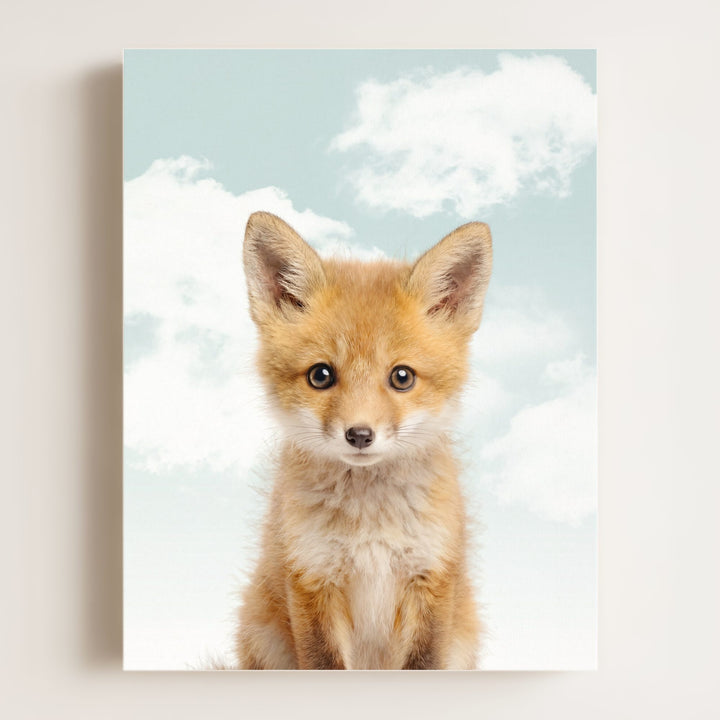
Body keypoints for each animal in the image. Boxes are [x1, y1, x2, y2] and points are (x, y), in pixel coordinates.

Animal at [236, 211, 492, 670]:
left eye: (402, 377)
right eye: (321, 375)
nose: (359, 435)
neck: (370, 525)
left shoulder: (430, 579)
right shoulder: (312, 577)